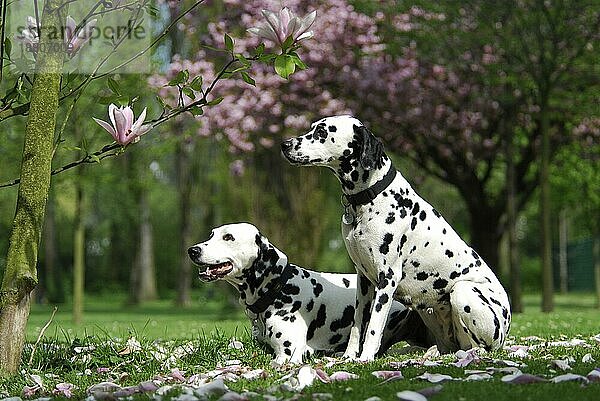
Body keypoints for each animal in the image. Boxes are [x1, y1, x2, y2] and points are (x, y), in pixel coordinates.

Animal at [282, 115, 510, 360]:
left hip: (463, 292)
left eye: (322, 132)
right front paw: (349, 357)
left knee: (476, 347)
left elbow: (373, 328)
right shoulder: (364, 281)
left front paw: (365, 358)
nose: (285, 144)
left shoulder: (387, 279)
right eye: (312, 128)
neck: (372, 197)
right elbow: (357, 326)